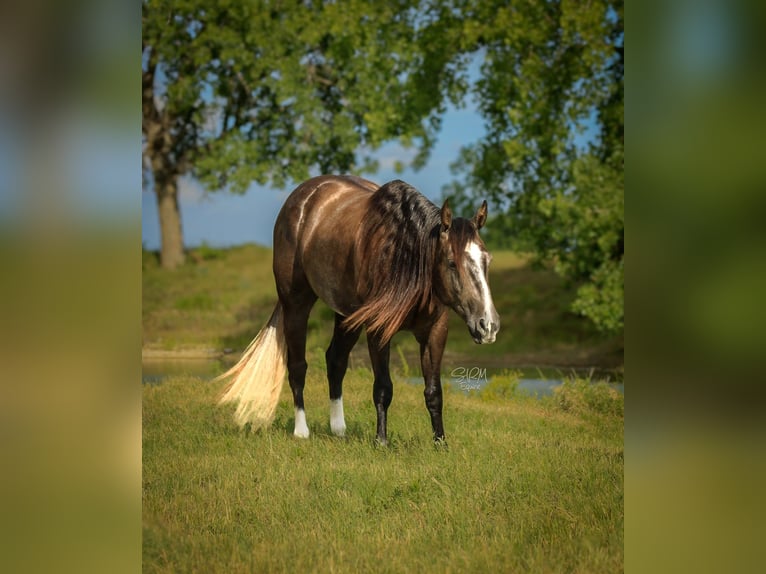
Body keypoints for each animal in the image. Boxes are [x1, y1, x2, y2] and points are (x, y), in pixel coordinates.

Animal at [217, 175, 500, 445]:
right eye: (452, 262)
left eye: (487, 259)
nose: (488, 325)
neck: (404, 261)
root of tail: (301, 199)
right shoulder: (378, 329)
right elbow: (383, 388)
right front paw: (381, 441)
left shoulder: (435, 332)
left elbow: (434, 392)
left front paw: (440, 443)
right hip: (295, 303)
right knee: (298, 366)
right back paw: (301, 432)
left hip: (346, 315)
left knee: (336, 361)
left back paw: (339, 430)